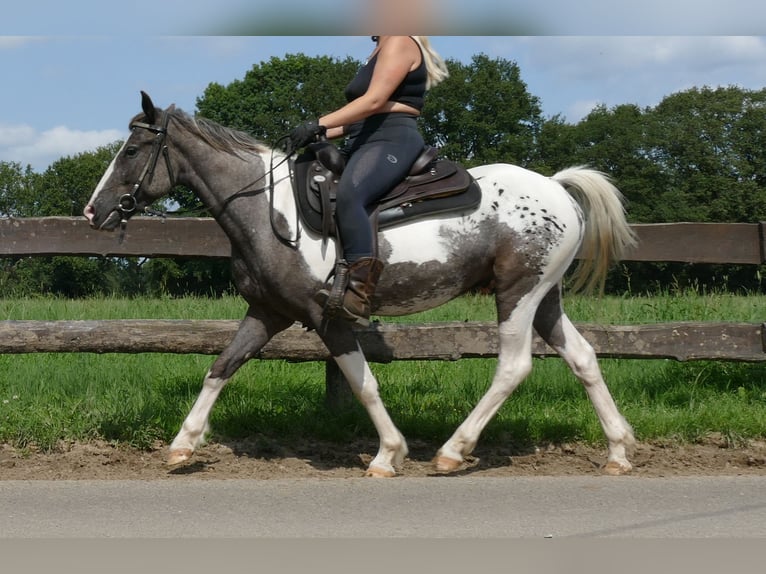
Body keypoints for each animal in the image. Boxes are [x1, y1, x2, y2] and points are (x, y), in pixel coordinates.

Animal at [84, 91, 640, 476]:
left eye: (133, 149)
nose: (94, 212)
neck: (268, 211)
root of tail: (556, 187)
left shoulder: (324, 315)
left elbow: (362, 381)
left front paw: (388, 454)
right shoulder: (267, 312)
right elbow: (220, 368)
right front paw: (183, 445)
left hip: (517, 293)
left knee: (513, 366)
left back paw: (452, 451)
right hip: (544, 297)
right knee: (583, 357)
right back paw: (617, 451)